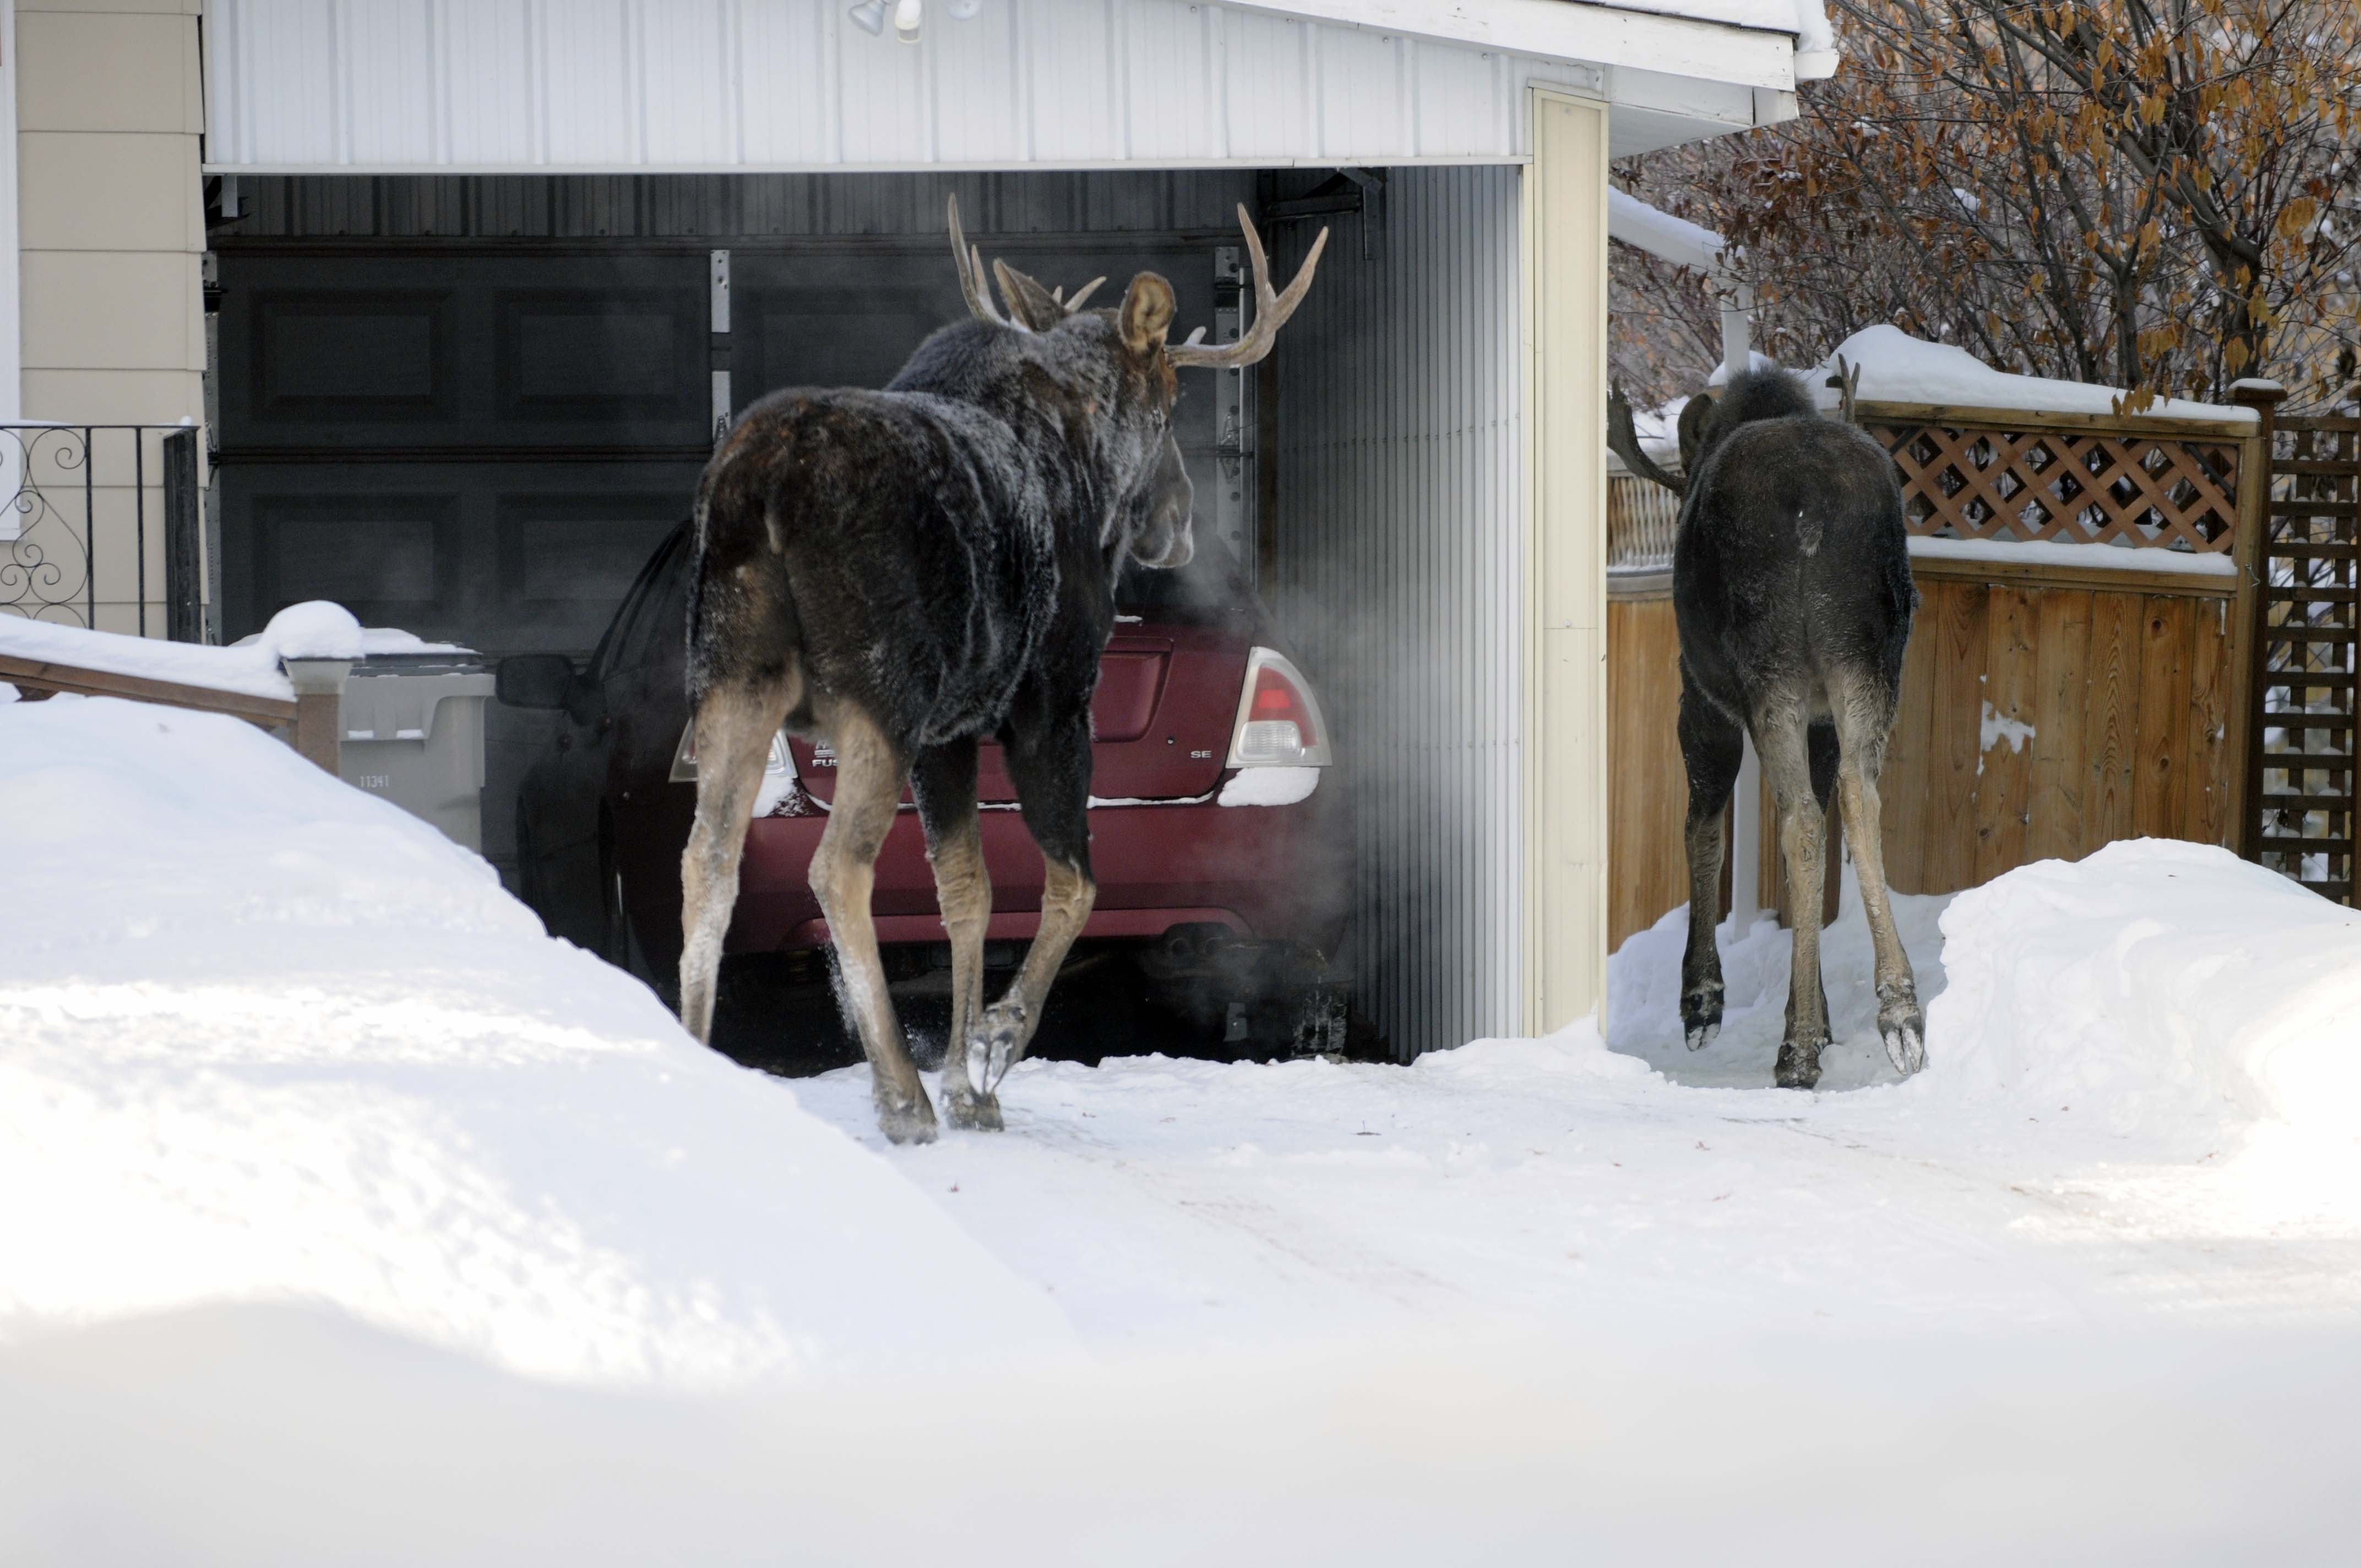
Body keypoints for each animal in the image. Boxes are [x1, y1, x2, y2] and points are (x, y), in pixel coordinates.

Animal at [679, 202, 1331, 1147]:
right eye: (1170, 405)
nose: (1178, 524)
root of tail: (761, 487)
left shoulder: (951, 732)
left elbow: (967, 891)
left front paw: (968, 1084)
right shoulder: (1050, 701)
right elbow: (1074, 883)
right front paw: (994, 1043)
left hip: (734, 676)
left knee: (709, 859)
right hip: (880, 692)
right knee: (836, 868)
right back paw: (902, 1099)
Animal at [1671, 368, 1927, 1086]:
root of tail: (1813, 500)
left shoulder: (1701, 694)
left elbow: (1703, 830)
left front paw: (1702, 998)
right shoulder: (1821, 720)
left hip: (1771, 670)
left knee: (1802, 825)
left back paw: (1799, 1049)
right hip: (1867, 663)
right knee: (1859, 801)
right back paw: (1899, 1010)